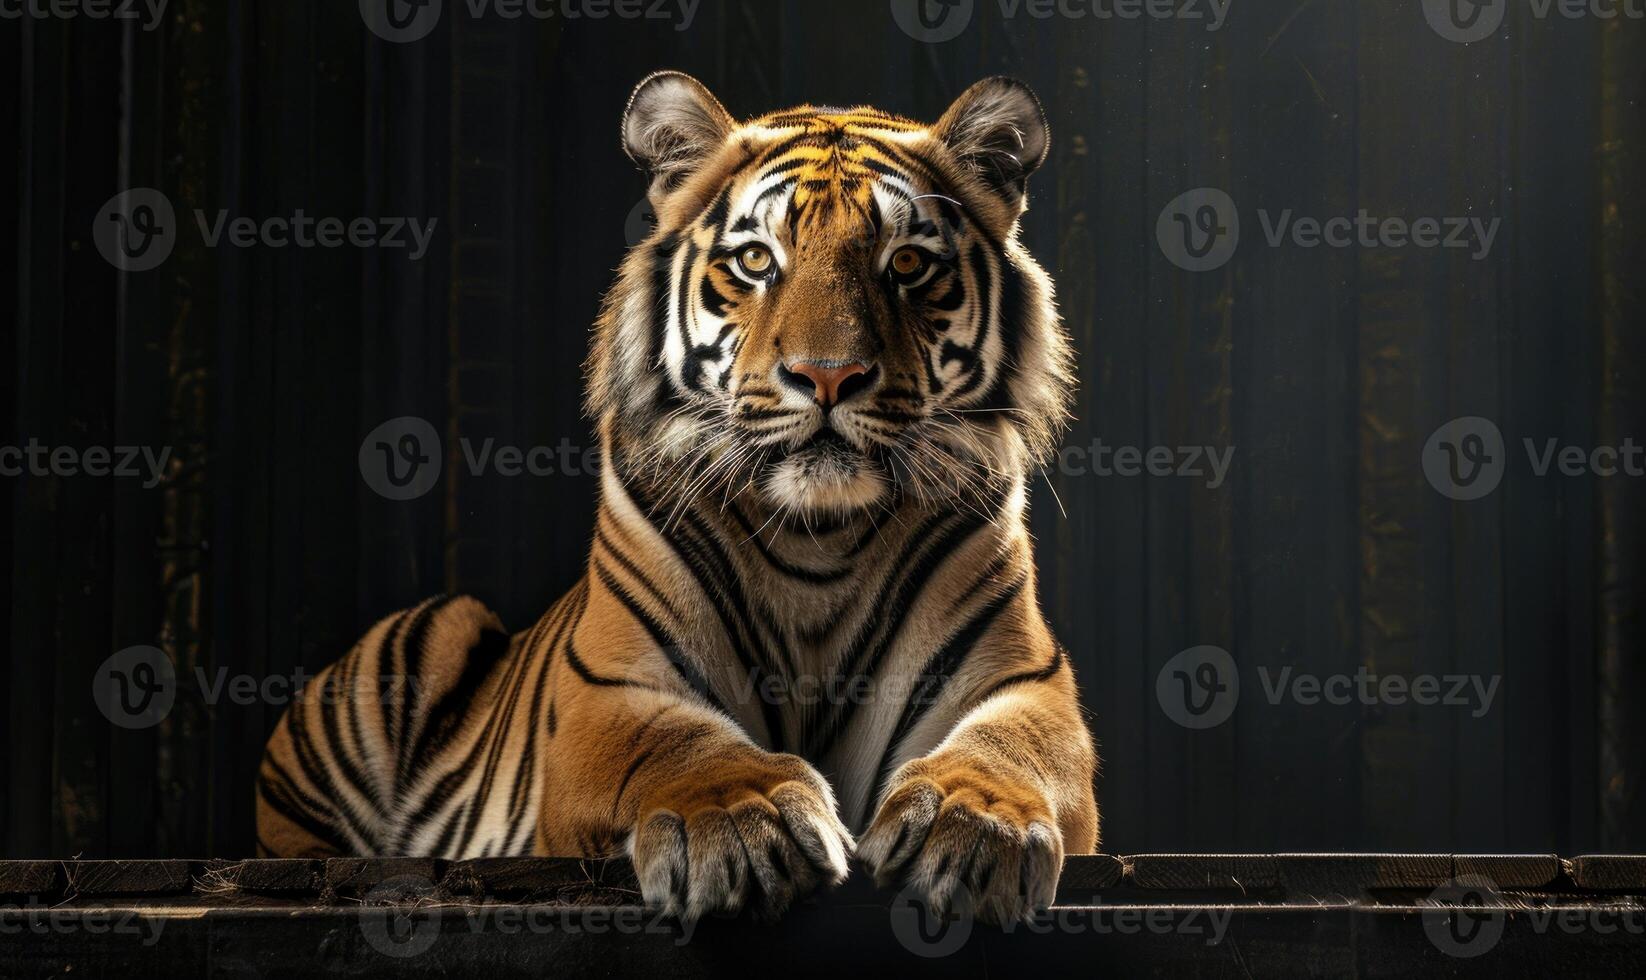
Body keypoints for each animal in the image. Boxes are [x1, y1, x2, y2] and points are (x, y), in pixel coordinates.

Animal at [256, 70, 1099, 928]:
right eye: (757, 260)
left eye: (907, 263)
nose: (829, 375)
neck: (818, 536)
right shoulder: (618, 688)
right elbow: (680, 746)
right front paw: (740, 823)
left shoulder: (1016, 680)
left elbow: (1011, 747)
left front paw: (976, 827)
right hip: (414, 646)